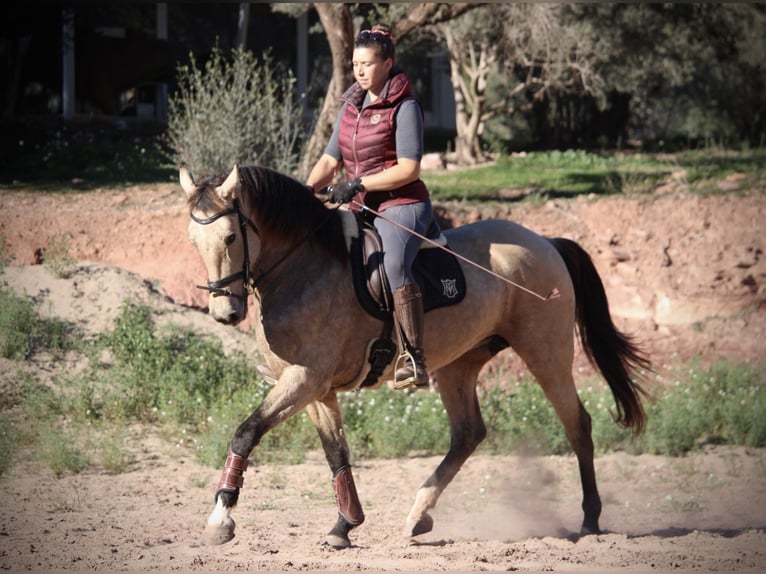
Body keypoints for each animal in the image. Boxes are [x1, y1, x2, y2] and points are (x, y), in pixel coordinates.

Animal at [180, 165, 648, 548]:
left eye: (230, 236)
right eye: (193, 241)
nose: (225, 313)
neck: (302, 269)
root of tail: (545, 242)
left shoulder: (305, 379)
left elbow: (246, 432)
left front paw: (220, 519)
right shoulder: (313, 389)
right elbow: (336, 454)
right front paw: (345, 525)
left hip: (545, 353)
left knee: (577, 425)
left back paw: (590, 520)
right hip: (460, 364)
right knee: (468, 434)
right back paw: (419, 515)